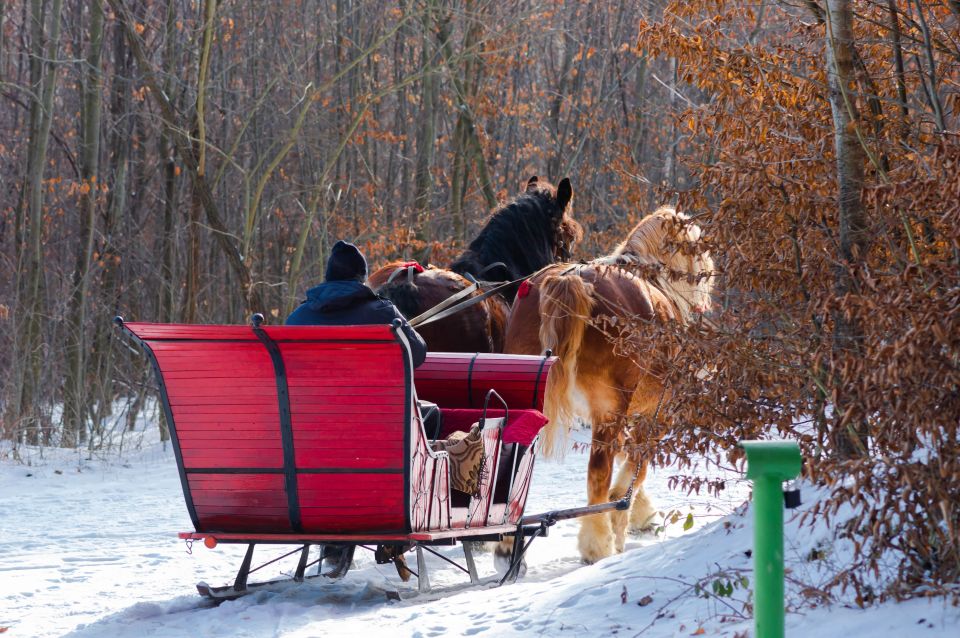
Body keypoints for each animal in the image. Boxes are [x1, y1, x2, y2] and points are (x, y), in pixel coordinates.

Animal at [502, 209, 712, 564]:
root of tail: (568, 280)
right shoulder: (657, 412)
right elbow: (636, 467)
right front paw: (623, 516)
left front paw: (639, 512)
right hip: (608, 410)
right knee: (597, 474)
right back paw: (597, 543)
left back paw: (505, 542)